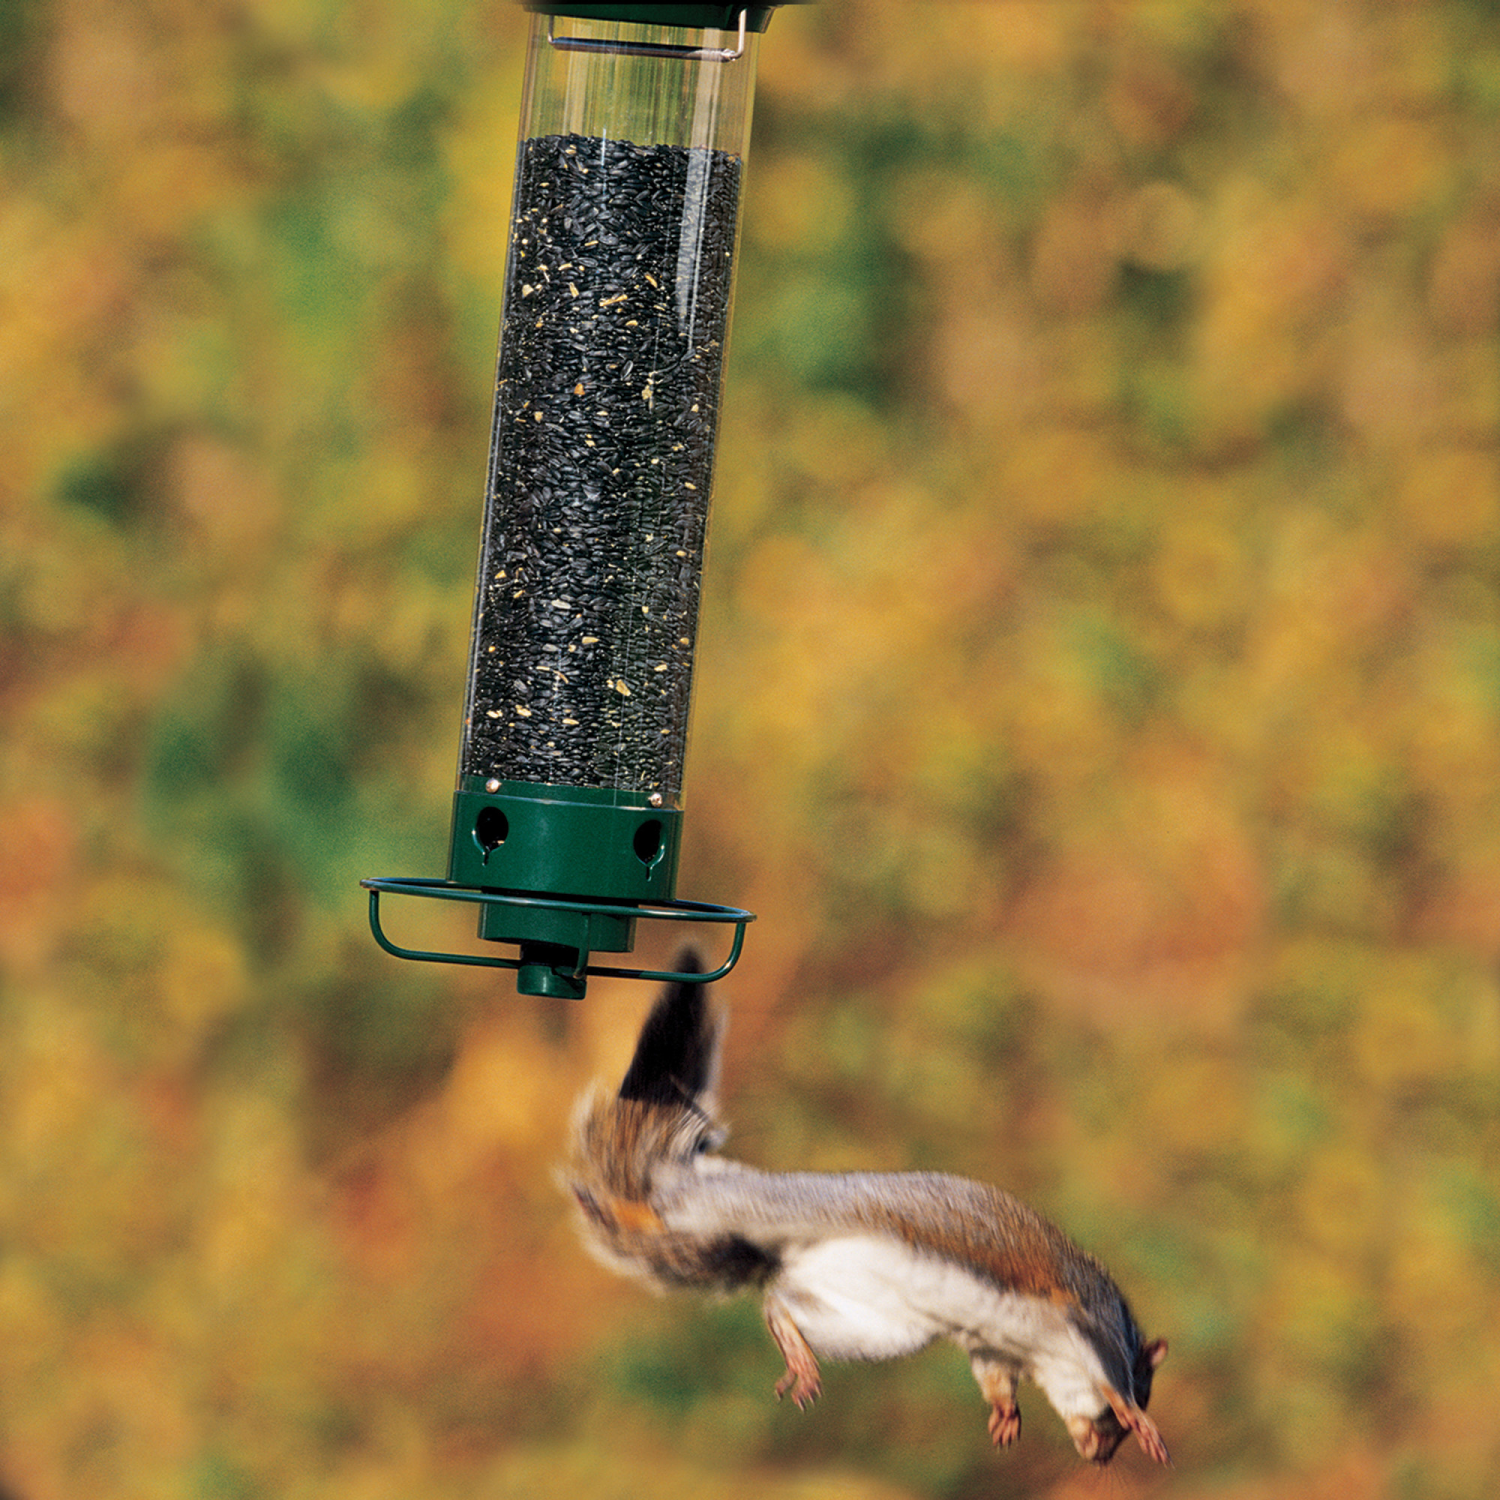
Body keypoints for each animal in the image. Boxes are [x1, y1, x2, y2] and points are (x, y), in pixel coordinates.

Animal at [564, 949, 1169, 1467]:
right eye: (1141, 1393)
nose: (1098, 1456)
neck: (1046, 1358)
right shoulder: (1085, 1321)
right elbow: (1110, 1379)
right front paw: (1136, 1420)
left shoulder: (993, 1349)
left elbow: (995, 1380)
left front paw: (1005, 1415)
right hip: (744, 1209)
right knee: (673, 1205)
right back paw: (629, 1207)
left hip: (875, 1328)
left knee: (779, 1302)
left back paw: (796, 1350)